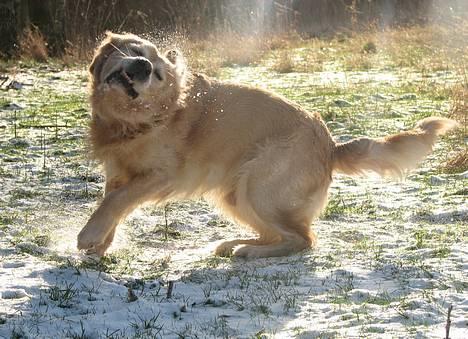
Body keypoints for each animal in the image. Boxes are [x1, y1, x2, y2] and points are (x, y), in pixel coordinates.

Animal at [77, 33, 458, 258]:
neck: (132, 122)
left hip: (257, 188)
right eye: (137, 51)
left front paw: (88, 236)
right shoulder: (118, 170)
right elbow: (112, 201)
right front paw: (101, 242)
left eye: (158, 74)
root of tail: (331, 144)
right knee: (281, 235)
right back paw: (237, 244)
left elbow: (117, 201)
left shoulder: (162, 175)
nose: (142, 67)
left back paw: (249, 252)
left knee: (302, 240)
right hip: (235, 196)